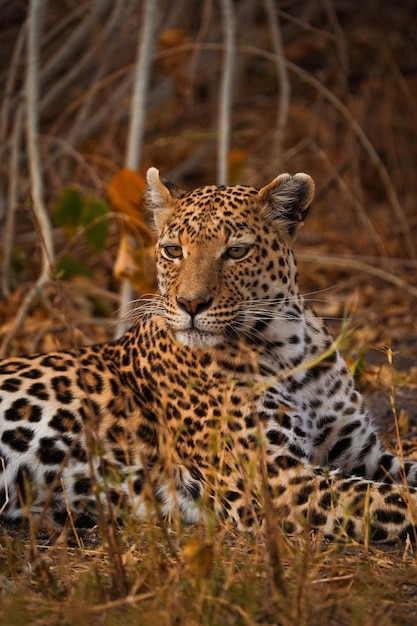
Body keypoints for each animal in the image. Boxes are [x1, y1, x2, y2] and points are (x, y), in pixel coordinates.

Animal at [0, 167, 416, 540]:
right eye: (173, 251)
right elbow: (395, 500)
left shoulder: (361, 454)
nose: (191, 303)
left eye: (236, 252)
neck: (288, 349)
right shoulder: (279, 482)